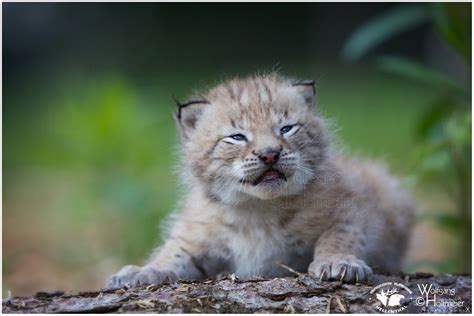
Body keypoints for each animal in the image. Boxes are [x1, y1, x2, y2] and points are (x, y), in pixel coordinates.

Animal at [108, 73, 414, 286]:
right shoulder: (195, 233)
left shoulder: (353, 206)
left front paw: (340, 262)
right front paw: (142, 270)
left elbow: (340, 235)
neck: (257, 208)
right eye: (237, 136)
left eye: (287, 129)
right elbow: (172, 253)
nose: (270, 154)